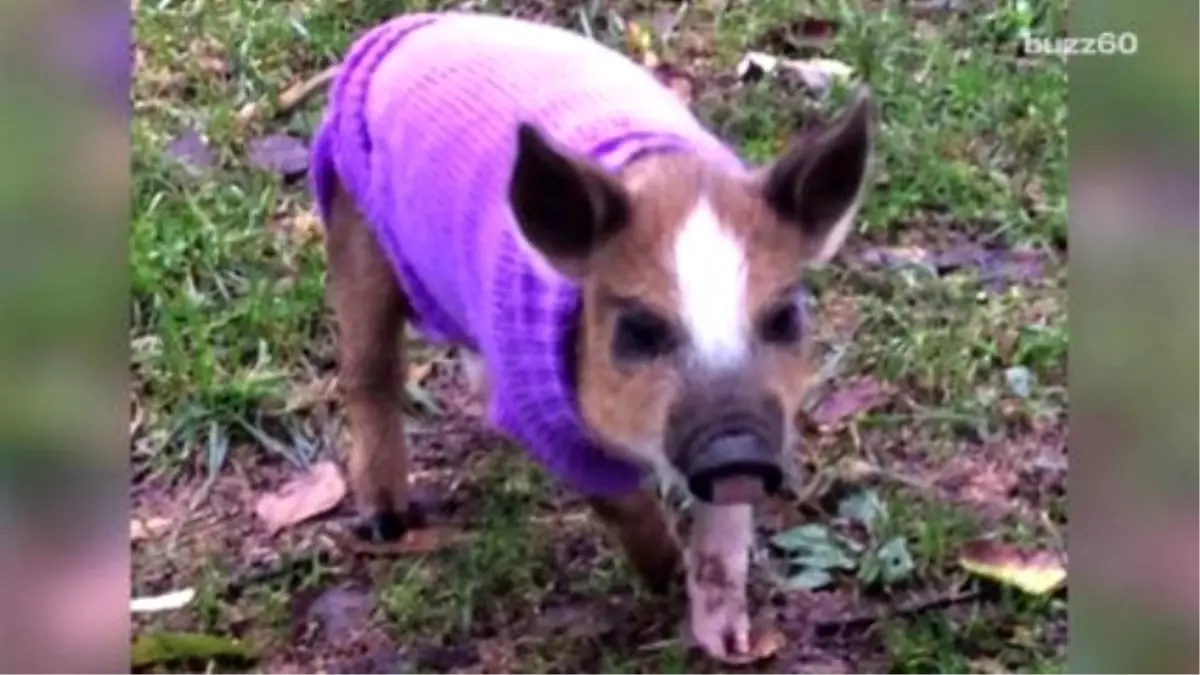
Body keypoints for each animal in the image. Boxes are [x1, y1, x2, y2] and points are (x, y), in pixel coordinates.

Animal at [309, 11, 873, 662]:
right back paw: (389, 522)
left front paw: (729, 641)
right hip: (354, 223)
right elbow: (620, 499)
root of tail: (403, 28)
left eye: (783, 317)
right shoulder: (551, 423)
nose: (736, 448)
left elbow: (723, 528)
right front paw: (665, 578)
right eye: (639, 329)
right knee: (368, 369)